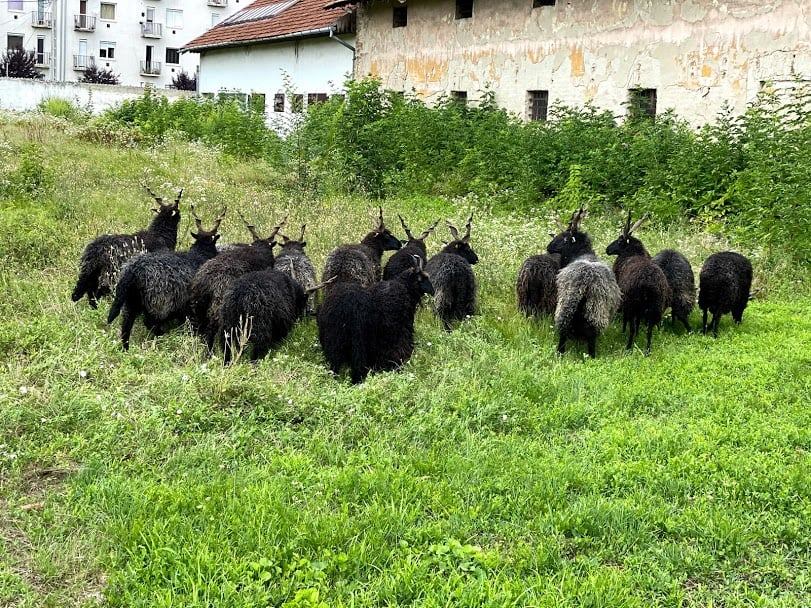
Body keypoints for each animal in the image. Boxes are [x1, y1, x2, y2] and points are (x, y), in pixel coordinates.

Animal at [108, 205, 227, 350]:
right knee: (150, 322)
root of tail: (133, 270)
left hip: (131, 302)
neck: (198, 255)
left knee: (126, 326)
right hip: (158, 303)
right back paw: (162, 335)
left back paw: (126, 348)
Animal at [318, 254, 434, 382]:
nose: (433, 291)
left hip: (334, 343)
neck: (404, 288)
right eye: (421, 278)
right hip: (357, 345)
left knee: (335, 367)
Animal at [544, 207, 620, 358]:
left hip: (569, 304)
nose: (549, 247)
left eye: (565, 237)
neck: (581, 254)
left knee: (565, 332)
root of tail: (585, 280)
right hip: (592, 309)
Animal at [608, 214, 672, 356]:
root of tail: (648, 283)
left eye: (620, 241)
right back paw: (647, 350)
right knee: (649, 330)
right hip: (655, 306)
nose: (607, 250)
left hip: (633, 303)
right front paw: (638, 334)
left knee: (632, 326)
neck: (632, 252)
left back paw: (628, 347)